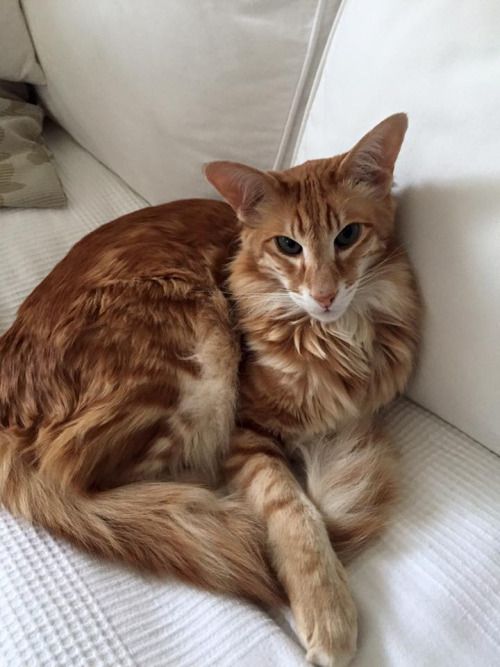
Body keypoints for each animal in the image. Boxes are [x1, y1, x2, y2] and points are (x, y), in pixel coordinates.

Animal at [0, 116, 422, 667]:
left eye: (348, 235)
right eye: (288, 246)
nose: (325, 295)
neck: (332, 337)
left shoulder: (352, 411)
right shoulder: (246, 427)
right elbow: (295, 510)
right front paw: (328, 610)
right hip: (199, 353)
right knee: (81, 474)